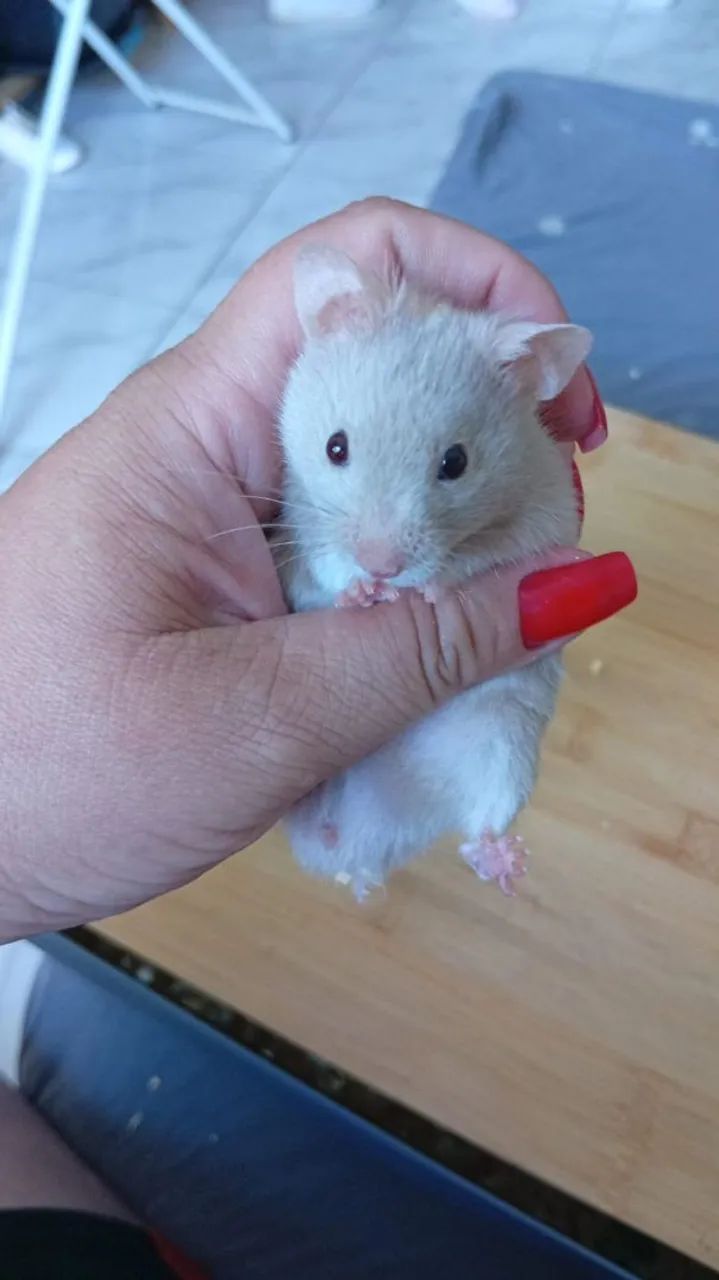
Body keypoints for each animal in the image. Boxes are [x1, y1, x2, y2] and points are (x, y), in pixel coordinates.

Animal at [275, 244, 591, 900]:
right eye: (335, 447)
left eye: (456, 462)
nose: (383, 565)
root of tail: (358, 842)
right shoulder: (294, 526)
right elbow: (320, 571)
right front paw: (361, 594)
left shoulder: (544, 520)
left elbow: (485, 558)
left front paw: (432, 589)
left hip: (504, 741)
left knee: (482, 821)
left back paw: (505, 867)